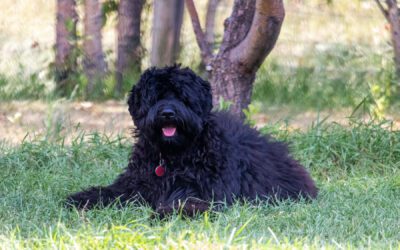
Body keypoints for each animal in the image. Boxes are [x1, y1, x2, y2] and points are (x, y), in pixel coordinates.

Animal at [68, 65, 318, 216]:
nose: (168, 113)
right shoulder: (135, 184)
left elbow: (182, 203)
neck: (173, 156)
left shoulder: (202, 193)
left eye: (182, 96)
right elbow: (109, 192)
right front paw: (81, 198)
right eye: (156, 96)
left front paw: (162, 214)